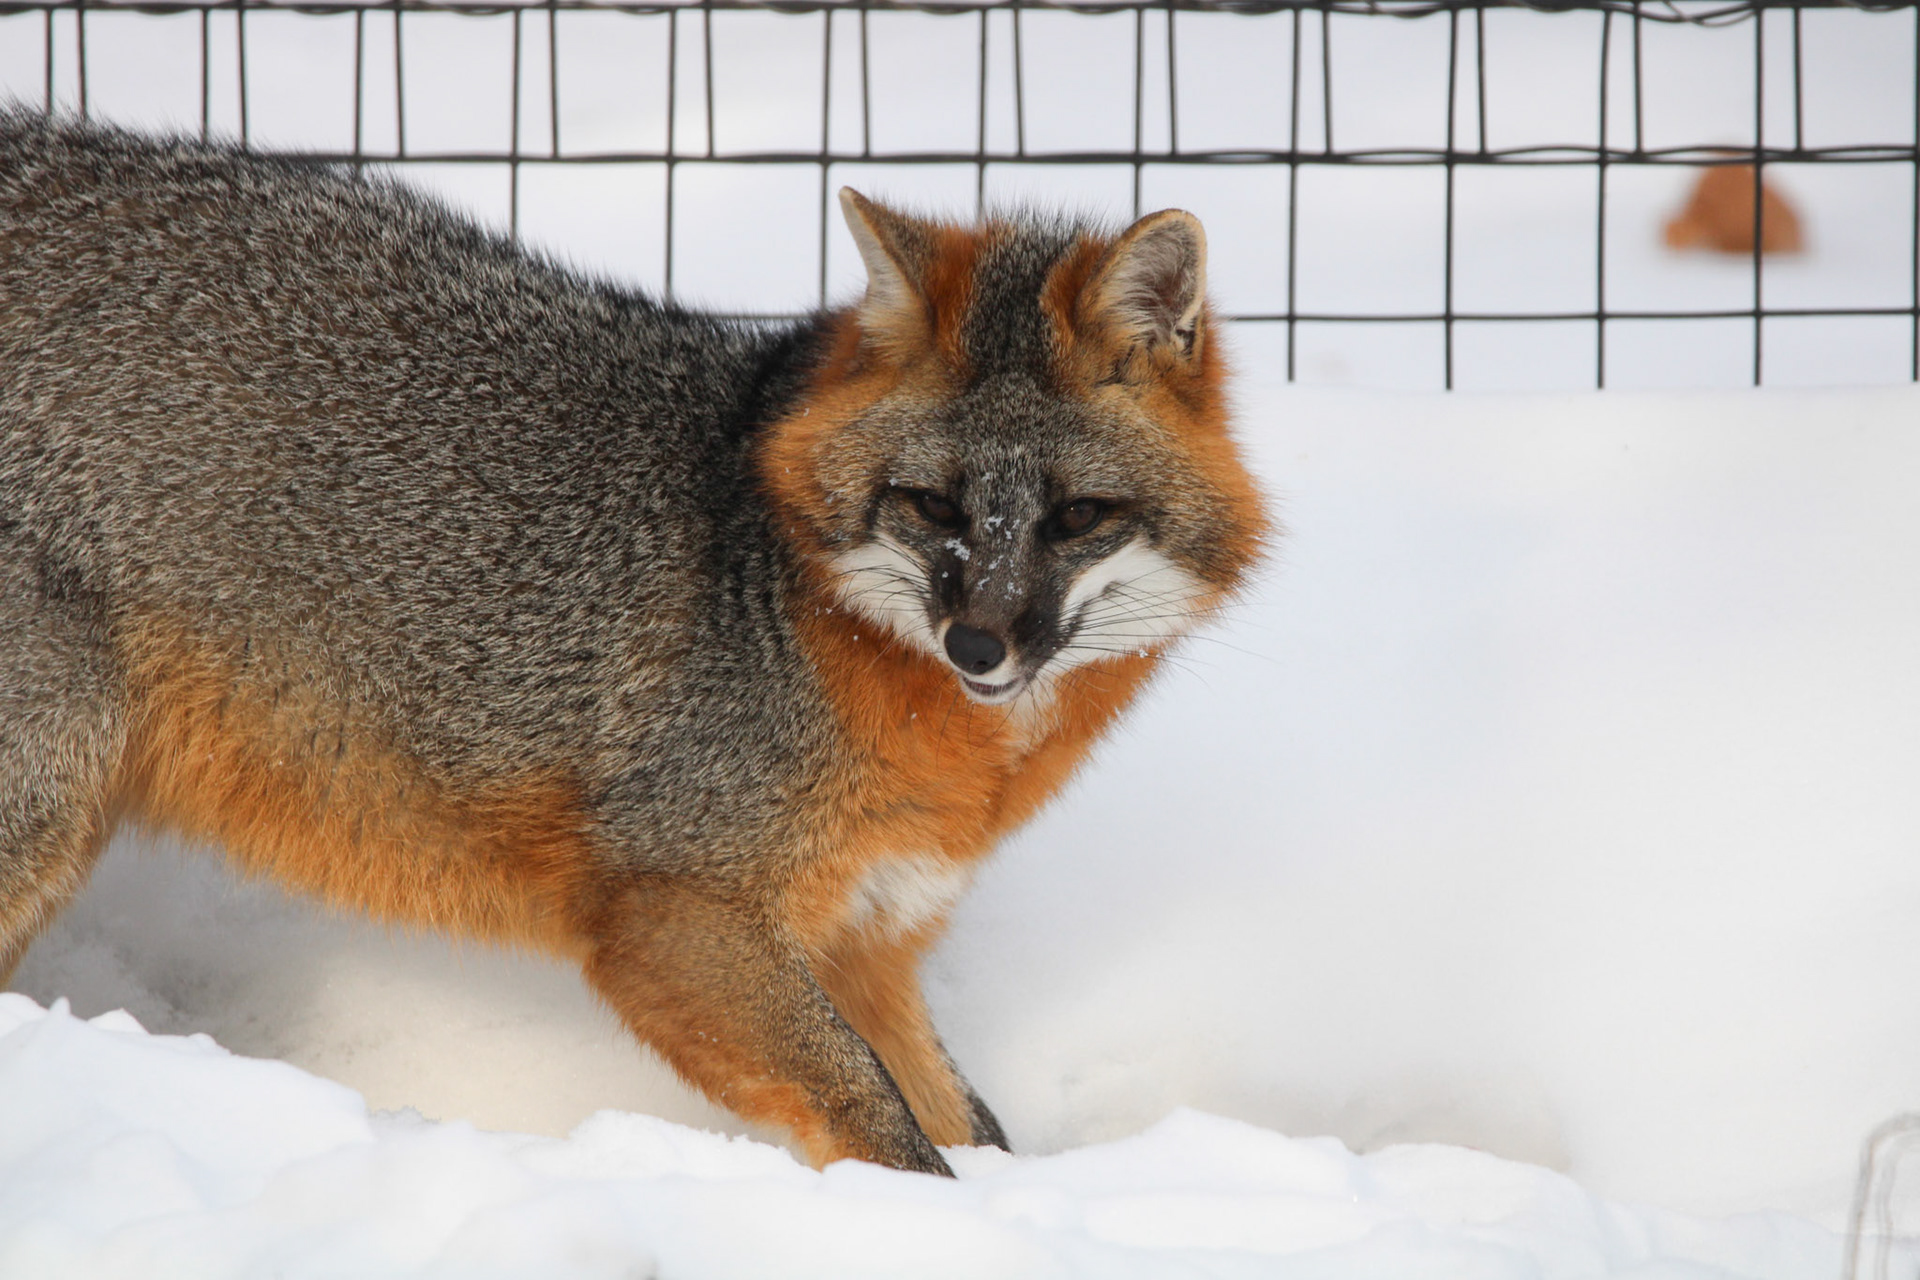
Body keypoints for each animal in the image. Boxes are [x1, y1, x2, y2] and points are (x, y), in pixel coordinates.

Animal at [0, 111, 1267, 1176]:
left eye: (1077, 516)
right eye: (932, 506)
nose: (979, 644)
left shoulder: (872, 939)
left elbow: (970, 1121)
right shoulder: (674, 905)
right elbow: (879, 1119)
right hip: (50, 801)